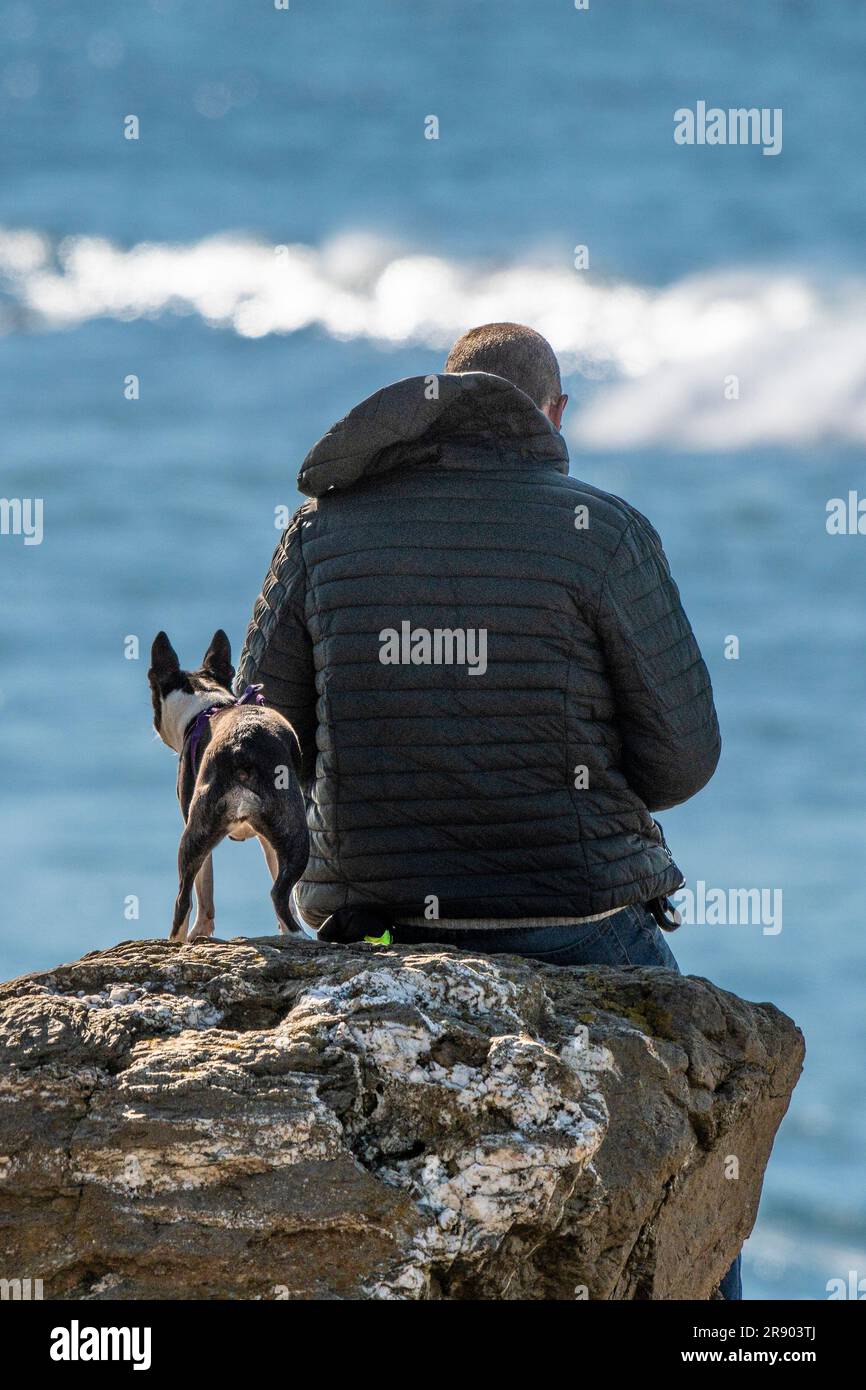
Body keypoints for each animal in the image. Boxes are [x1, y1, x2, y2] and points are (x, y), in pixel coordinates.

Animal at [147, 631, 309, 945]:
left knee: (183, 899)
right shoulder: (268, 841)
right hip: (292, 830)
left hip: (197, 828)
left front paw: (200, 932)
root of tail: (241, 745)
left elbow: (204, 887)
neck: (206, 705)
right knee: (280, 892)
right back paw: (298, 934)